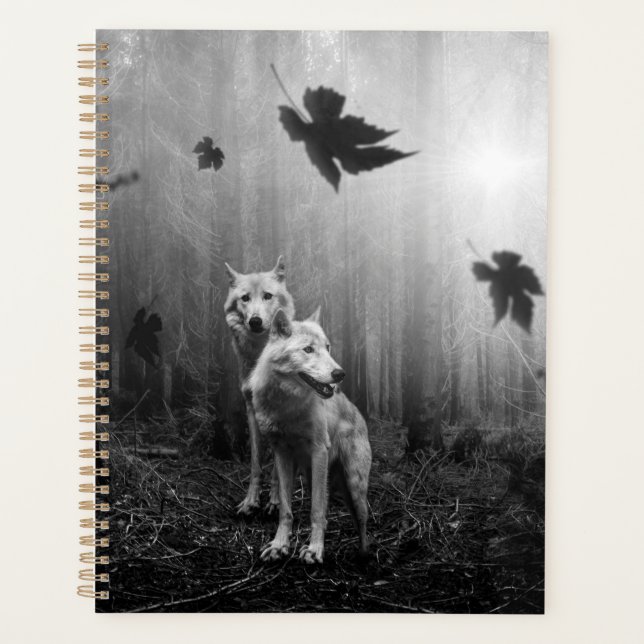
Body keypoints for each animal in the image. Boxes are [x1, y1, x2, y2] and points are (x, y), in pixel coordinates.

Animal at [224, 256, 295, 514]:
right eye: (245, 298)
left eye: (267, 295)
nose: (255, 321)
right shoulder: (251, 410)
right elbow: (256, 462)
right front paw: (250, 501)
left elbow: (277, 467)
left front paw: (275, 502)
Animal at [248, 308, 372, 563]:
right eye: (308, 349)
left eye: (328, 347)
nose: (340, 373)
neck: (286, 406)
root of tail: (359, 414)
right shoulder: (282, 454)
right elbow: (286, 509)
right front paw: (279, 546)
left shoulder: (319, 451)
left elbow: (316, 510)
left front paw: (315, 550)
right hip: (313, 474)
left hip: (354, 486)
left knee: (362, 522)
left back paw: (363, 555)